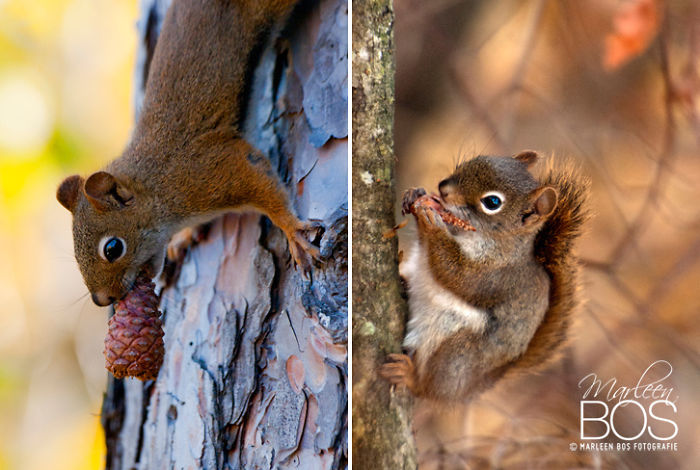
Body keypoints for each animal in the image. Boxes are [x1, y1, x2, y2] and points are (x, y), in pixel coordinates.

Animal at [56, 0, 320, 306]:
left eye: (112, 248)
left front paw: (292, 232)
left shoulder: (211, 172)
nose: (102, 300)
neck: (156, 189)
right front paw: (182, 238)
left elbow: (262, 184)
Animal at [380, 151, 590, 402]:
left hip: (458, 354)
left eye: (492, 203)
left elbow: (457, 274)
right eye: (473, 160)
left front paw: (432, 225)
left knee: (433, 387)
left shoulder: (496, 277)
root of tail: (478, 385)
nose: (443, 189)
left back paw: (409, 376)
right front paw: (416, 194)